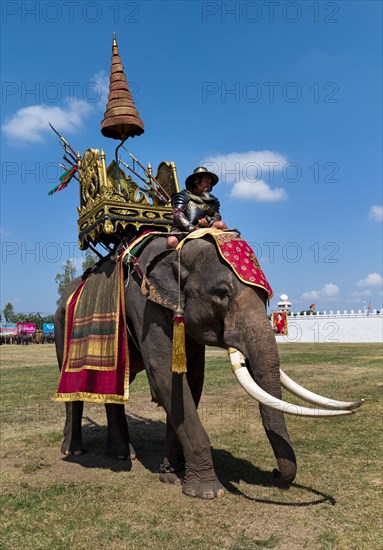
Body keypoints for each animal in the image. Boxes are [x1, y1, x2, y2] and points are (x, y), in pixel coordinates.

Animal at [54, 232, 364, 500]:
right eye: (222, 293)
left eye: (268, 297)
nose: (275, 473)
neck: (178, 247)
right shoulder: (143, 307)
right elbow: (165, 375)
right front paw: (206, 492)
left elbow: (189, 381)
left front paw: (171, 474)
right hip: (61, 328)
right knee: (74, 392)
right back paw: (75, 451)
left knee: (116, 389)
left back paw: (122, 454)